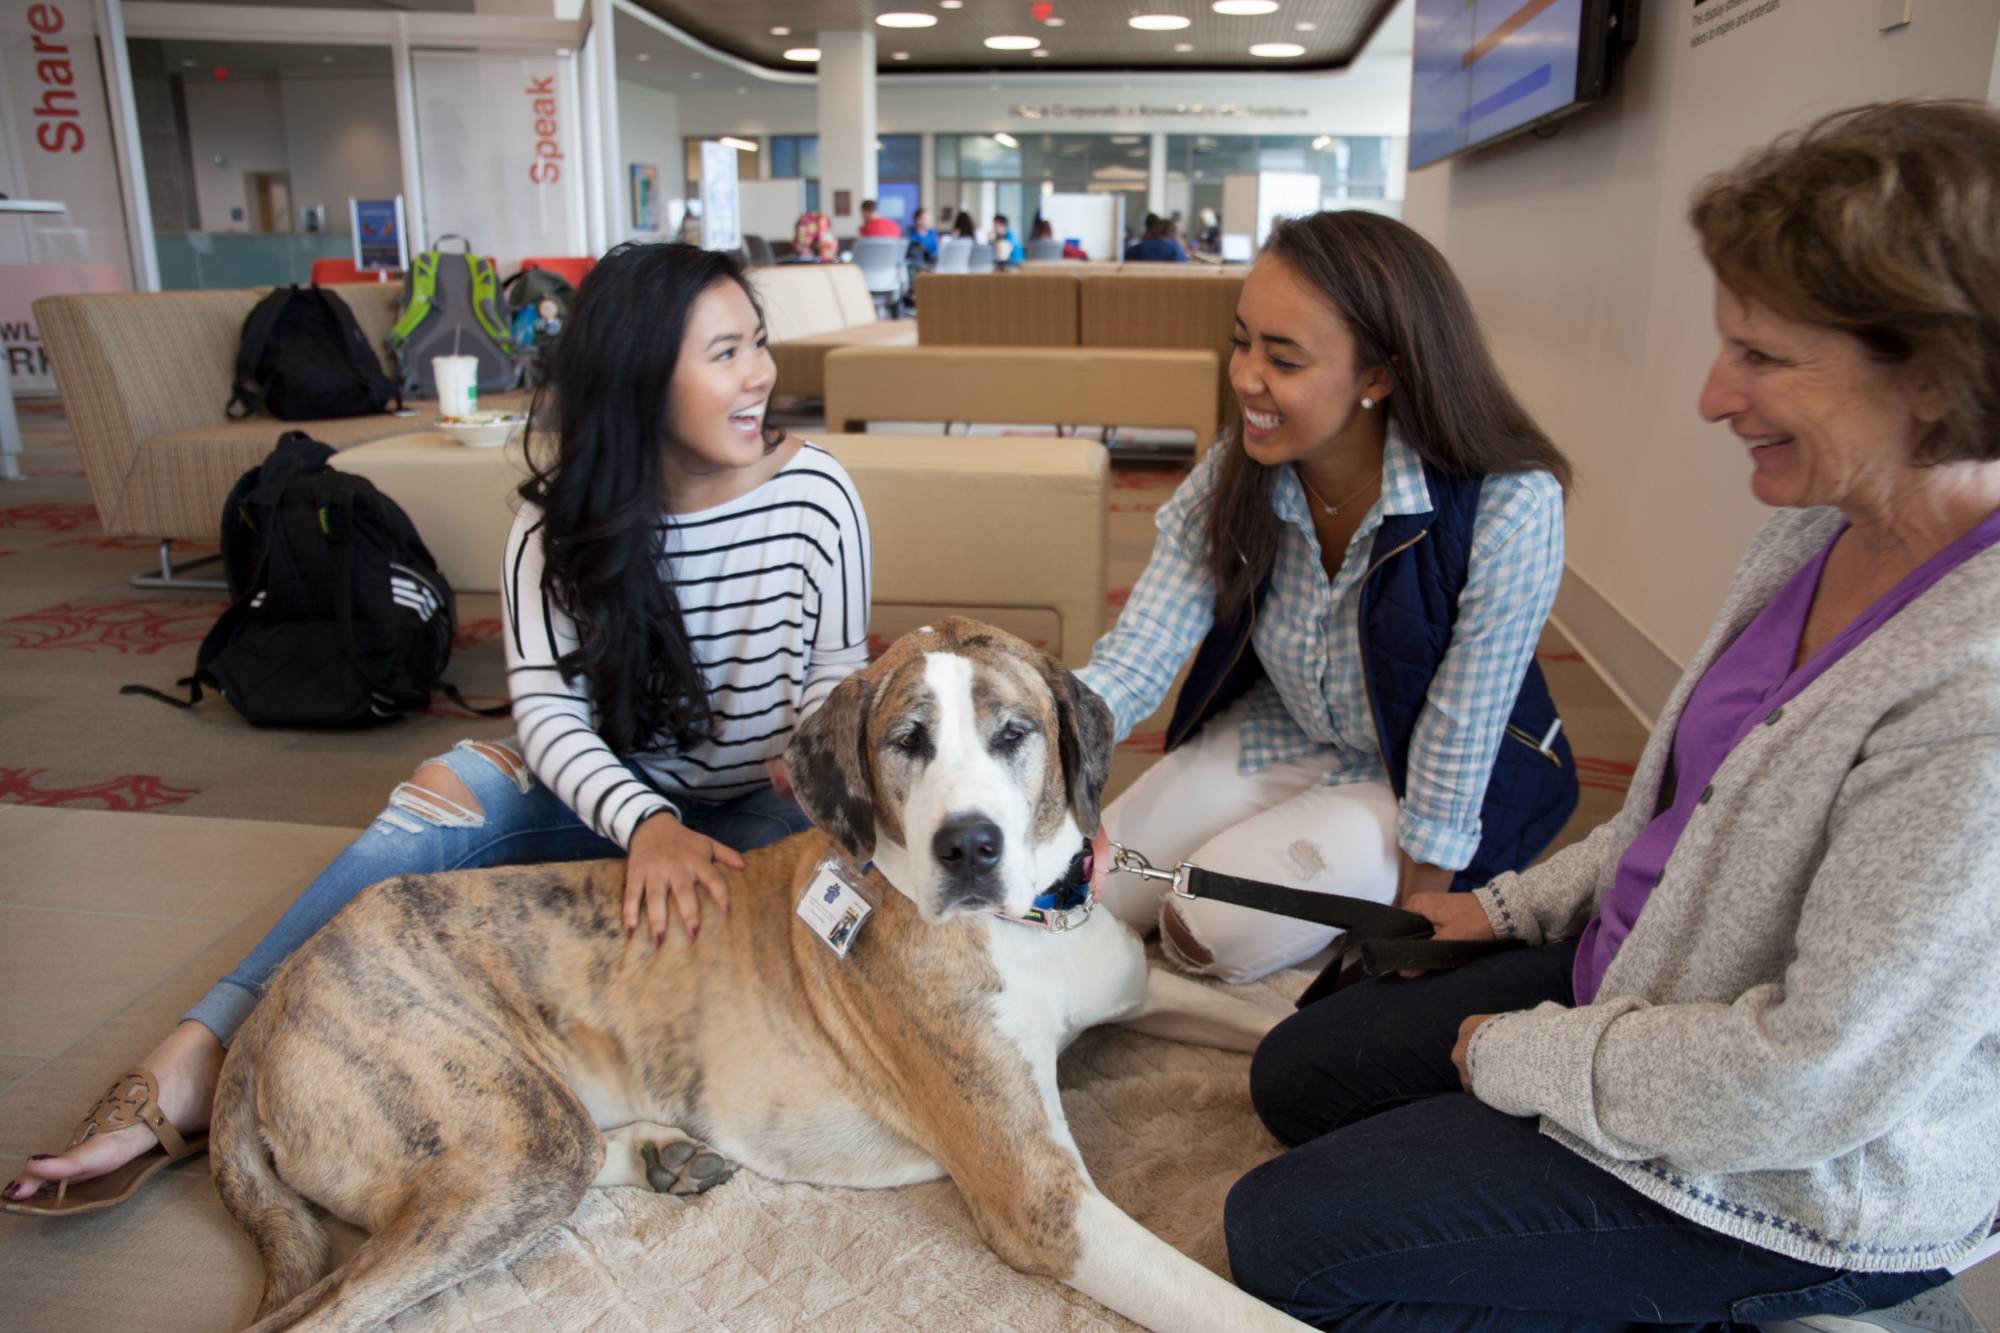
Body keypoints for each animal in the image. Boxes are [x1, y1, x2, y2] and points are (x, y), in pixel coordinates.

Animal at [219, 616, 1304, 1320]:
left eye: (1013, 734)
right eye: (907, 741)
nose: (967, 846)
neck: (1033, 924)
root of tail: (272, 999)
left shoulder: (1144, 990)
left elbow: (1276, 1023)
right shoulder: (1043, 1200)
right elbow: (1233, 1310)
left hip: (528, 1139)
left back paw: (663, 1153)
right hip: (506, 1147)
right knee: (314, 1313)